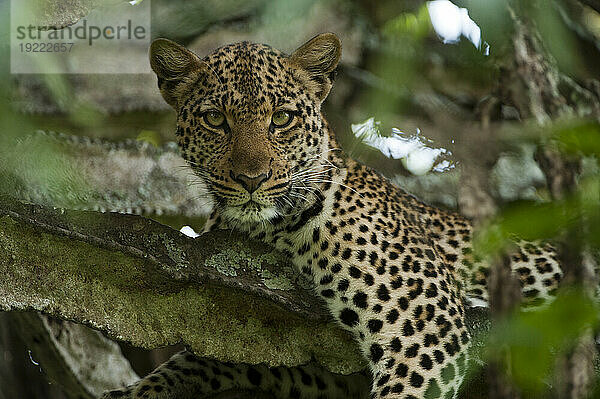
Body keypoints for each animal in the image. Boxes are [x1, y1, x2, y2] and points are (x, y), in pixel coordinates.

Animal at [101, 33, 564, 399]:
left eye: (282, 118)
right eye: (215, 119)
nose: (252, 179)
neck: (268, 230)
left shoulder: (427, 328)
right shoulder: (322, 372)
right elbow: (199, 360)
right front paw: (138, 390)